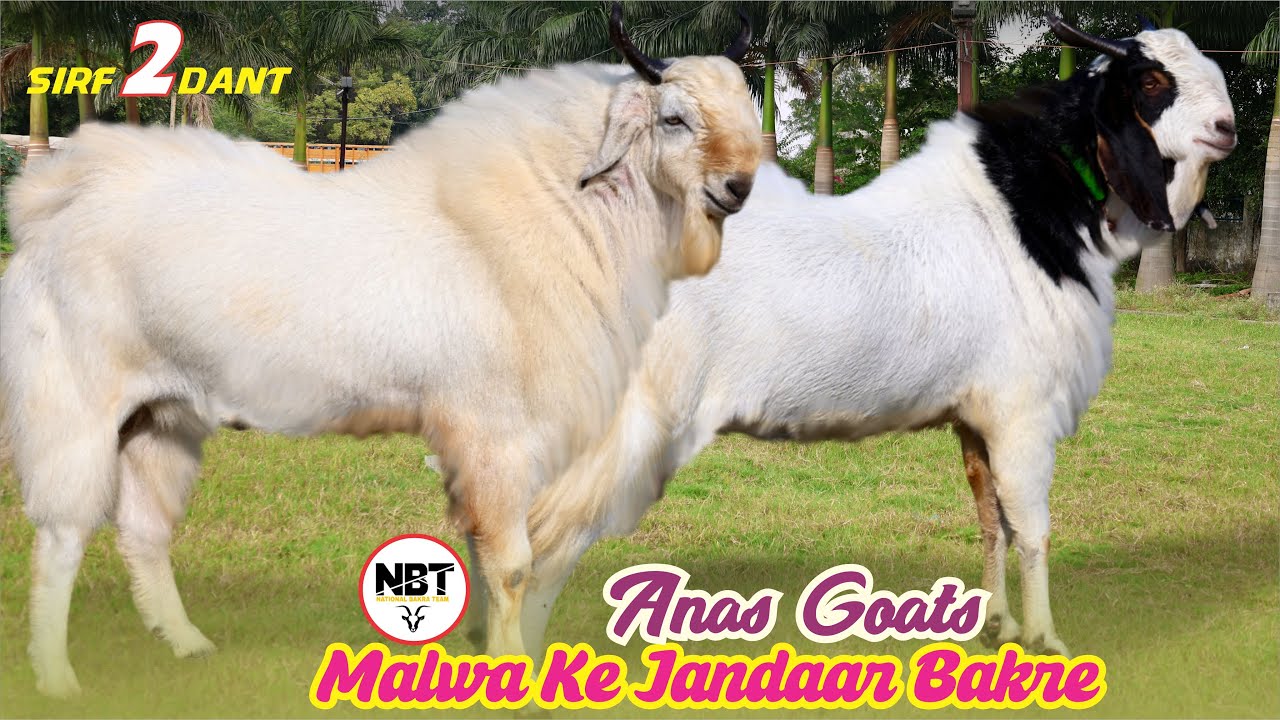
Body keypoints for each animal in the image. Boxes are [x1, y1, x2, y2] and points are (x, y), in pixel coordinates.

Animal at [0, 5, 760, 697]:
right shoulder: (494, 435)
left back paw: (186, 643)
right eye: (674, 119)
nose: (738, 188)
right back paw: (58, 678)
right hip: (74, 405)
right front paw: (511, 672)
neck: (551, 210)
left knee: (145, 531)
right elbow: (513, 563)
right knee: (63, 535)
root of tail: (53, 203)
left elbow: (490, 558)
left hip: (162, 417)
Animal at [515, 18, 1235, 658]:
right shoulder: (1022, 412)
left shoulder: (975, 417)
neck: (1019, 213)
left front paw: (996, 626)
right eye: (1150, 80)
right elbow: (1032, 530)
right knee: (542, 544)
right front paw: (1045, 641)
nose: (1227, 127)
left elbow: (991, 521)